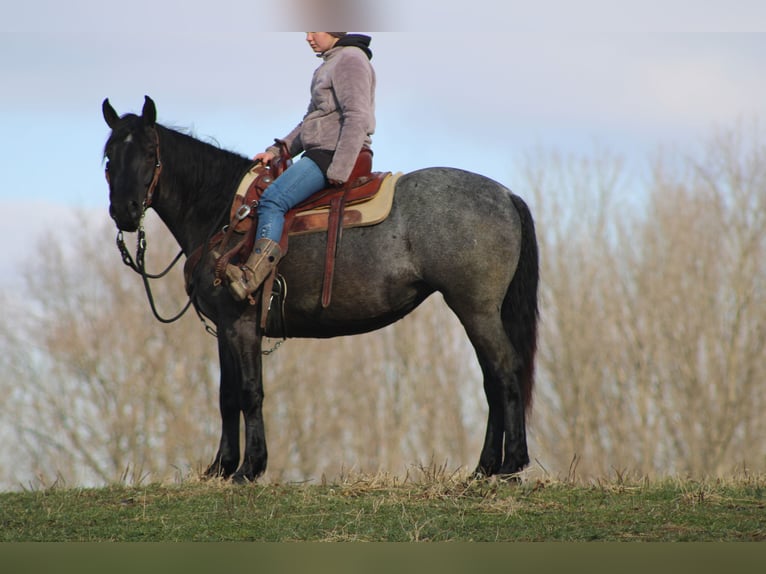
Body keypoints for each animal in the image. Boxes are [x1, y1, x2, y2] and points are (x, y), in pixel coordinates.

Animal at [102, 96, 539, 482]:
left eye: (149, 152)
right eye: (108, 156)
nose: (124, 211)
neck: (223, 214)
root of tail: (505, 195)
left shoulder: (240, 324)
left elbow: (249, 391)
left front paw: (250, 468)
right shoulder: (225, 327)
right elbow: (227, 395)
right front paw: (221, 468)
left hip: (475, 309)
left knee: (504, 371)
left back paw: (510, 463)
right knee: (492, 378)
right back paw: (484, 468)